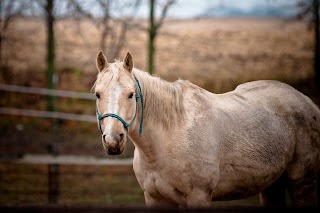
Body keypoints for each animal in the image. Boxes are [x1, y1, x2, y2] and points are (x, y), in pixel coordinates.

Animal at [92, 50, 320, 208]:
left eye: (131, 94)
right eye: (98, 94)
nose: (113, 140)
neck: (167, 139)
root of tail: (308, 102)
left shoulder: (198, 196)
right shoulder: (155, 199)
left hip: (302, 183)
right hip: (272, 184)